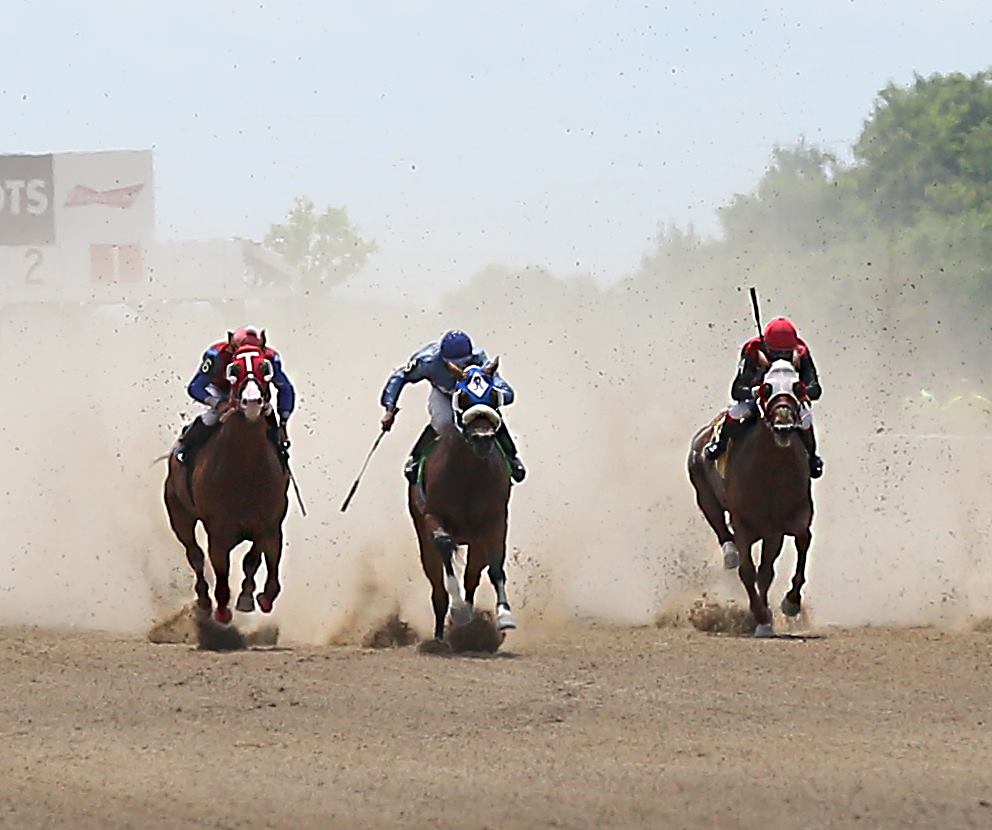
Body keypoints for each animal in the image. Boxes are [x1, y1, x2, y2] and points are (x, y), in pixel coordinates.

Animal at [164, 344, 290, 624]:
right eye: (233, 369)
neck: (245, 472)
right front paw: (222, 609)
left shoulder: (269, 526)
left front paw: (254, 597)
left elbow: (259, 561)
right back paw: (203, 600)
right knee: (195, 555)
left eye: (265, 367)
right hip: (179, 514)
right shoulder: (219, 534)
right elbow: (220, 571)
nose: (252, 402)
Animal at [408, 360, 520, 644]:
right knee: (437, 588)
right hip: (424, 542)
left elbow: (495, 566)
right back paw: (441, 635)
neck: (469, 475)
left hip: (476, 541)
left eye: (492, 395)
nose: (483, 438)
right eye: (463, 396)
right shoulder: (432, 517)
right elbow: (444, 546)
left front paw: (505, 615)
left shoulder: (495, 521)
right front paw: (458, 612)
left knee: (472, 577)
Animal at [688, 358, 812, 636]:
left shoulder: (785, 523)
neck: (771, 471)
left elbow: (788, 555)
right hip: (704, 494)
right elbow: (748, 571)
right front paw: (761, 617)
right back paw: (730, 554)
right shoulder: (744, 522)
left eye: (797, 386)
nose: (783, 427)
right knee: (721, 528)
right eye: (766, 387)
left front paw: (788, 605)